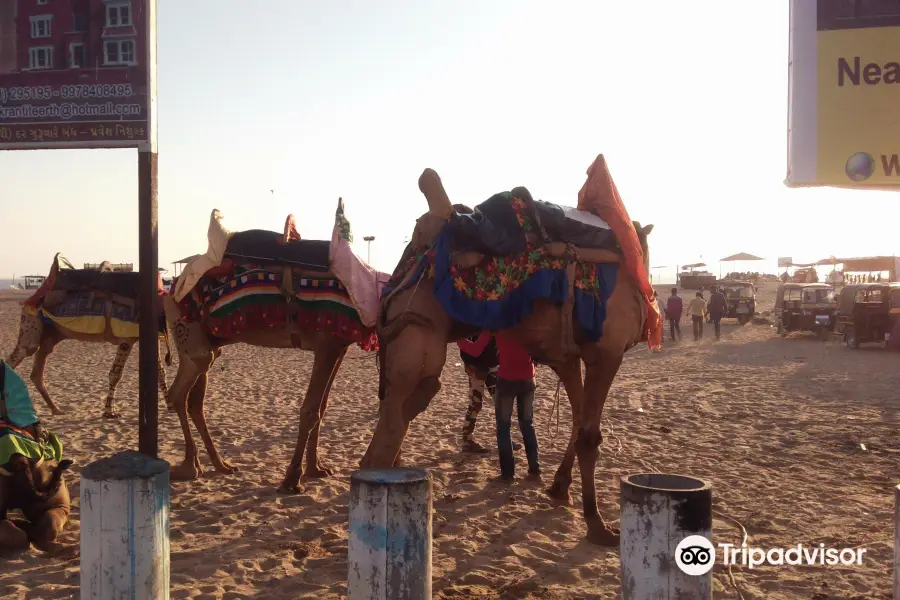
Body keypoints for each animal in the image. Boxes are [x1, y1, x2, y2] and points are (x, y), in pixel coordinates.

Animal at [7, 255, 172, 420]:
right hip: (31, 322)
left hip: (51, 334)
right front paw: (109, 412)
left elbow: (161, 372)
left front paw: (171, 407)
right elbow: (115, 374)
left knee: (38, 368)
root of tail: (35, 295)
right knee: (22, 353)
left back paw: (56, 409)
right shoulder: (126, 338)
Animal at [163, 203, 384, 492]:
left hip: (205, 344)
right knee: (179, 394)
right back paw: (191, 466)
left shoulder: (339, 346)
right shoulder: (327, 344)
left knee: (194, 401)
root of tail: (172, 288)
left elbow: (322, 407)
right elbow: (311, 409)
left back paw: (219, 464)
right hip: (191, 337)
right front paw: (292, 479)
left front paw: (317, 469)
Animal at [358, 161, 660, 548]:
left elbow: (577, 421)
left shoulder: (568, 357)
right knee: (394, 424)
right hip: (419, 331)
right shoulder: (606, 352)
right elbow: (589, 436)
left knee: (400, 412)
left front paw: (559, 488)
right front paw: (598, 526)